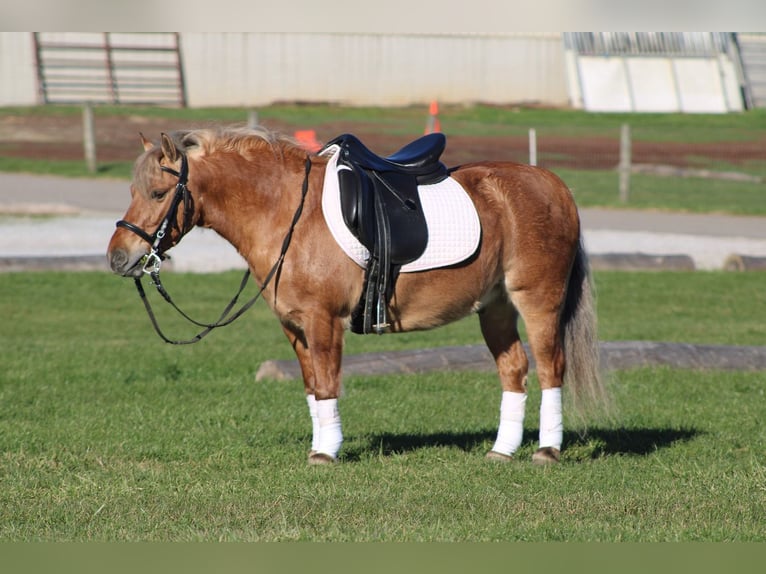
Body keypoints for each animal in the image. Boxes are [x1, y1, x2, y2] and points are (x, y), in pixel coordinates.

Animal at [107, 126, 605, 465]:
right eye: (132, 190)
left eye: (158, 192)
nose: (117, 258)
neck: (286, 213)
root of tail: (554, 184)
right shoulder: (294, 327)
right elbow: (312, 387)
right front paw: (319, 445)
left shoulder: (323, 320)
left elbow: (327, 384)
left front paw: (326, 453)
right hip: (495, 307)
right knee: (515, 369)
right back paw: (503, 450)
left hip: (537, 300)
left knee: (551, 367)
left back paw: (546, 450)